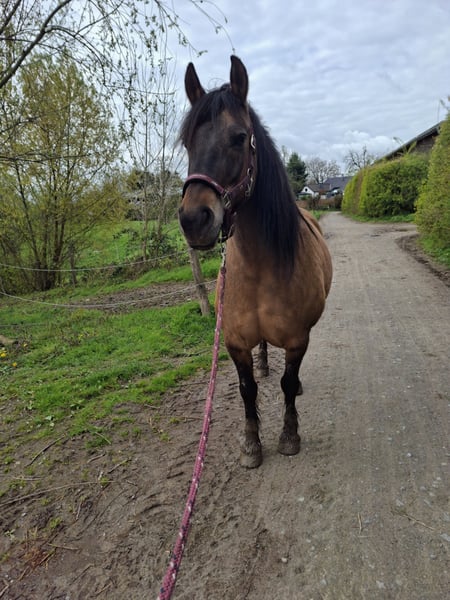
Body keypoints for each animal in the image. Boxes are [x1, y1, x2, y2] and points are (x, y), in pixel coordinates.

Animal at [179, 56, 332, 468]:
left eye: (238, 137)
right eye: (187, 142)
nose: (193, 220)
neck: (261, 268)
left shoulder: (297, 340)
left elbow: (287, 384)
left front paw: (289, 437)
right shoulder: (234, 342)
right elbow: (248, 389)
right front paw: (250, 445)